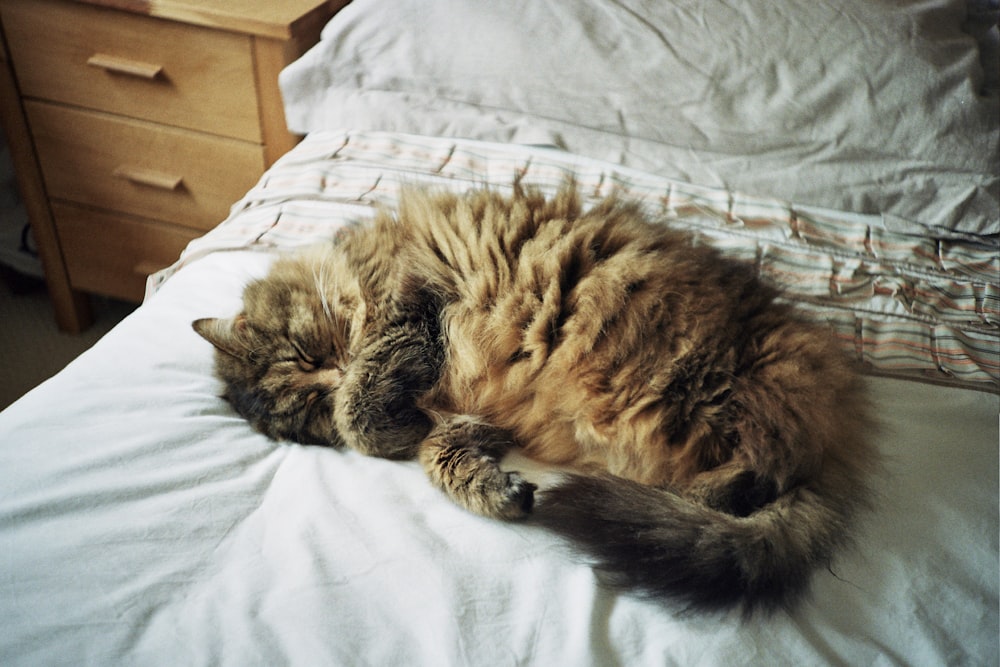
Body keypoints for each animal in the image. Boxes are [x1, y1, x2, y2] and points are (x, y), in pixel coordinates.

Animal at [193, 185, 876, 612]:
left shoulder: (412, 312)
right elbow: (438, 451)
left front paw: (382, 421)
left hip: (698, 383)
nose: (329, 377)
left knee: (763, 474)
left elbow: (366, 410)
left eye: (306, 357)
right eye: (306, 398)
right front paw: (493, 484)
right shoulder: (452, 401)